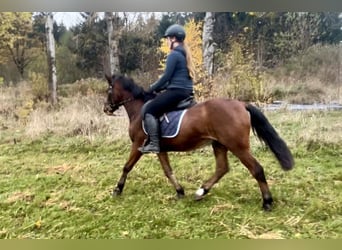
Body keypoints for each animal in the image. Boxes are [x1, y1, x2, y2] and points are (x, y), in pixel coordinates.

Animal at [102, 74, 294, 211]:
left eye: (109, 89)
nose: (106, 109)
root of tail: (241, 104)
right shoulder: (160, 149)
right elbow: (168, 171)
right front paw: (180, 191)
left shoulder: (138, 145)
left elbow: (127, 167)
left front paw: (117, 190)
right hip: (219, 144)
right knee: (222, 168)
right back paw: (201, 191)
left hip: (238, 147)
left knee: (256, 169)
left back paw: (267, 202)